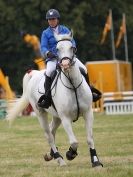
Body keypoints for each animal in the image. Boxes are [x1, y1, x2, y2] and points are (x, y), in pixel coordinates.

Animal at [5, 32, 102, 167]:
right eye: (57, 49)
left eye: (72, 48)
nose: (65, 65)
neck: (73, 86)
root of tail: (34, 74)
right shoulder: (65, 118)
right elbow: (74, 142)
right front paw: (70, 153)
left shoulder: (88, 113)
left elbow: (89, 138)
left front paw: (96, 161)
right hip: (41, 113)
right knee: (49, 135)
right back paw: (59, 158)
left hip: (56, 117)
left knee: (52, 131)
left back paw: (50, 154)